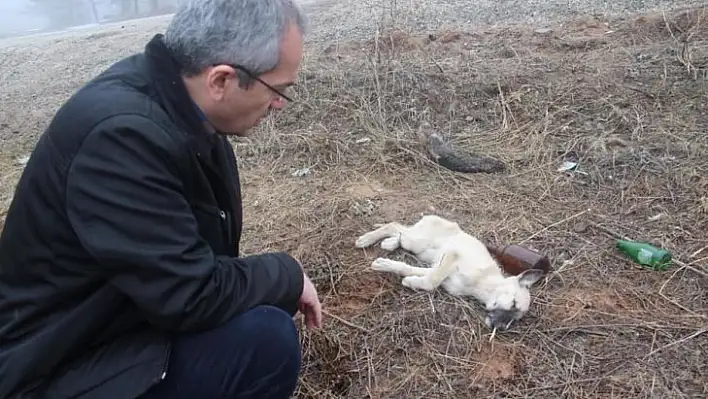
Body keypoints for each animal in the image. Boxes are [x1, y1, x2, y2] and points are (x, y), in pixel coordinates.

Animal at [356, 216, 544, 332]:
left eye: (516, 320)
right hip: (417, 242)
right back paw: (366, 239)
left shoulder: (439, 269)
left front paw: (396, 270)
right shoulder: (451, 255)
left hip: (417, 246)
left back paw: (390, 243)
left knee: (400, 233)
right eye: (513, 304)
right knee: (394, 226)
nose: (501, 329)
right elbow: (431, 282)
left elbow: (415, 272)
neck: (484, 283)